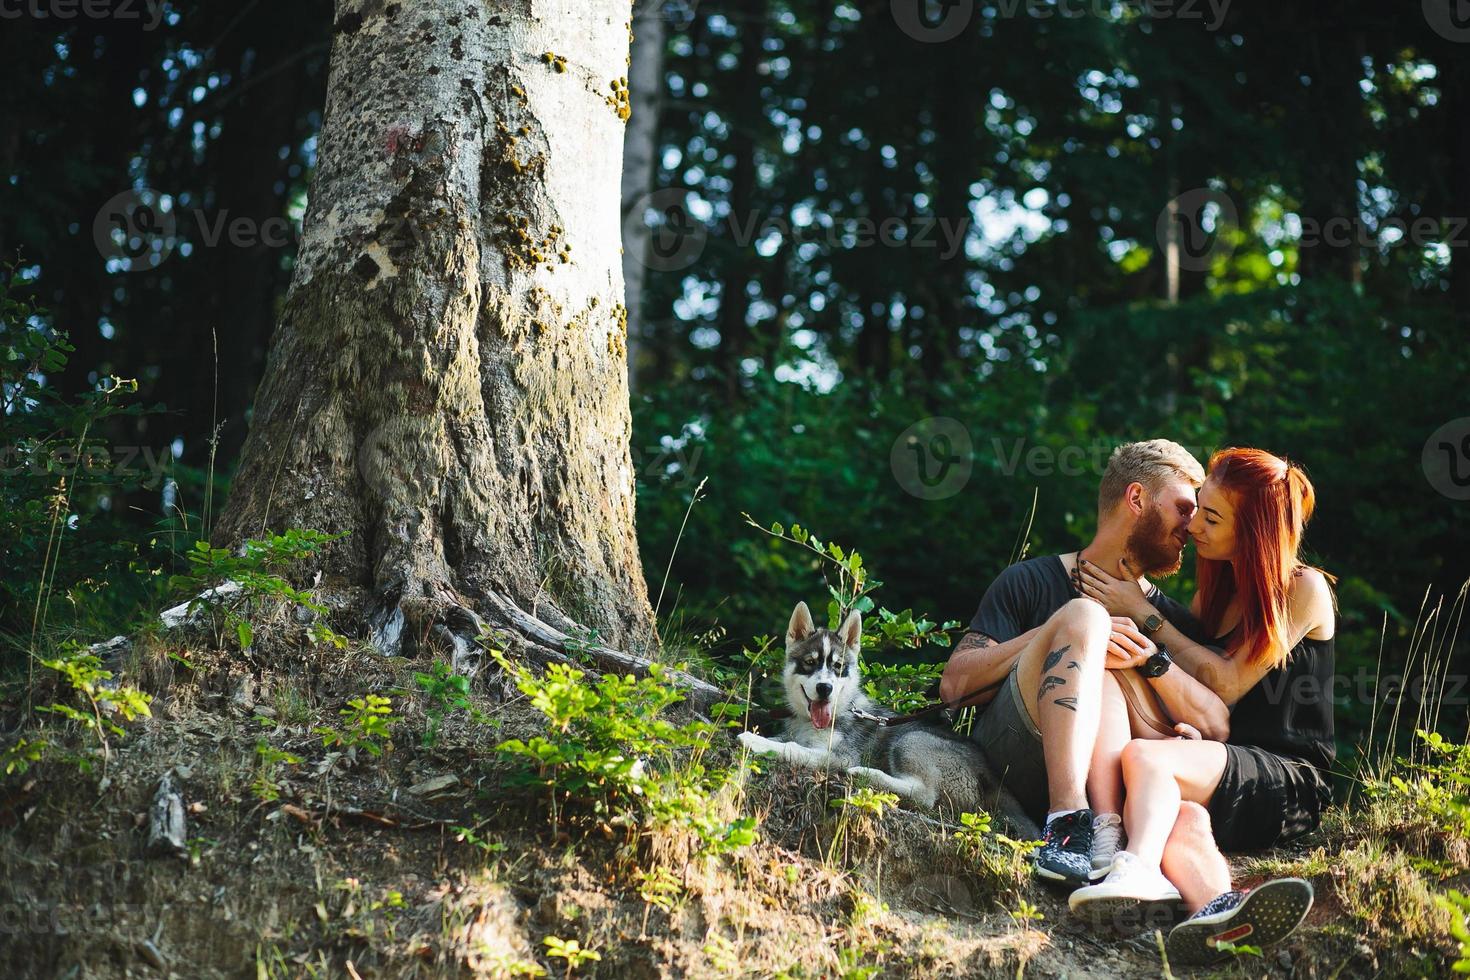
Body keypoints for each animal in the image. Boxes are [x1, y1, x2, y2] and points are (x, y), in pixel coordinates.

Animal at [740, 599, 993, 811]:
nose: (825, 688)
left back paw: (865, 773)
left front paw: (754, 741)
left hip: (913, 740)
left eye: (839, 667)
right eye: (810, 662)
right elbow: (784, 740)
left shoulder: (840, 756)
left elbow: (792, 748)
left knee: (924, 796)